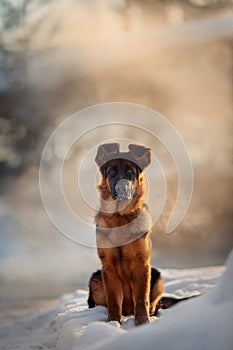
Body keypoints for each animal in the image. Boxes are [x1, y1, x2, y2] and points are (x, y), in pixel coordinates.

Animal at [87, 142, 193, 326]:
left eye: (130, 172)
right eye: (112, 171)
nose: (122, 189)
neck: (120, 219)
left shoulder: (143, 265)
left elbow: (141, 298)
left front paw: (143, 322)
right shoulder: (108, 268)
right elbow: (114, 300)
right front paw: (113, 322)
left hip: (156, 276)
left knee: (152, 304)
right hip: (96, 280)